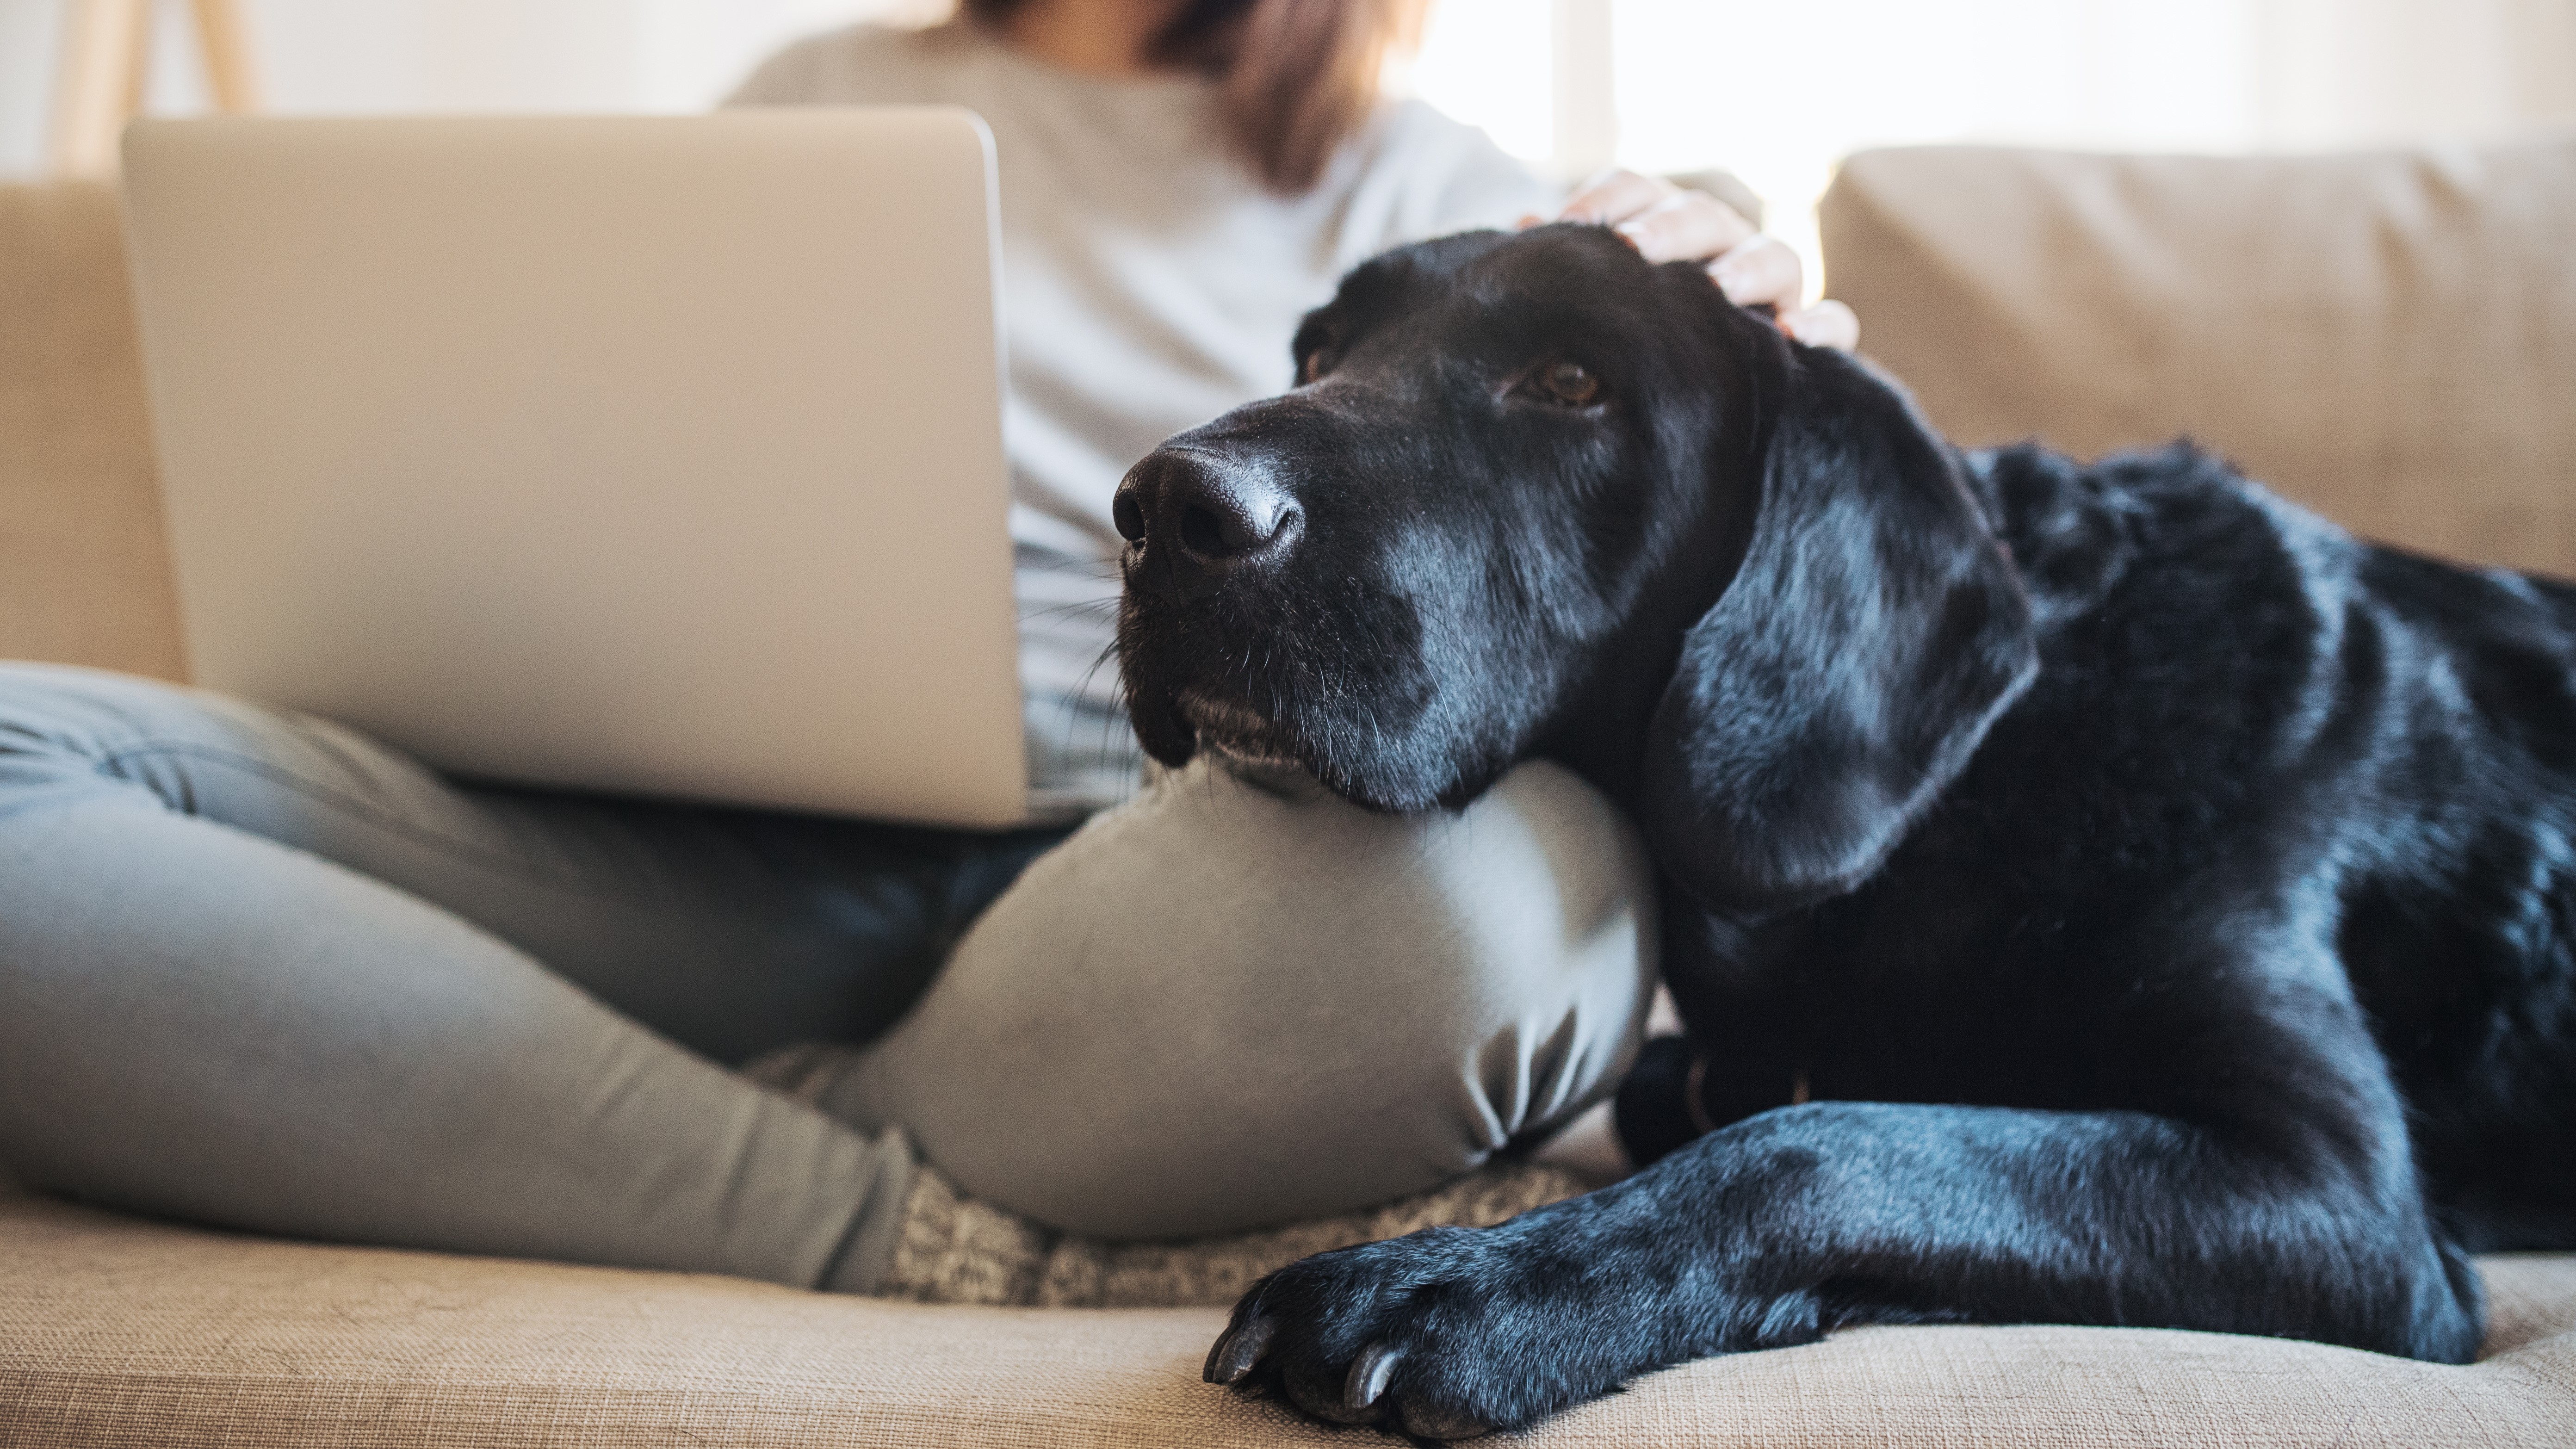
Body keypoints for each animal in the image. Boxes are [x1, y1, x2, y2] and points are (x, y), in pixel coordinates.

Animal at [1108, 223, 2576, 1433]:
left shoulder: (2338, 1194)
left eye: (1573, 382)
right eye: (1320, 348)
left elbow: (1825, 1141)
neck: (1970, 791)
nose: (1165, 510)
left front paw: (1462, 1288)